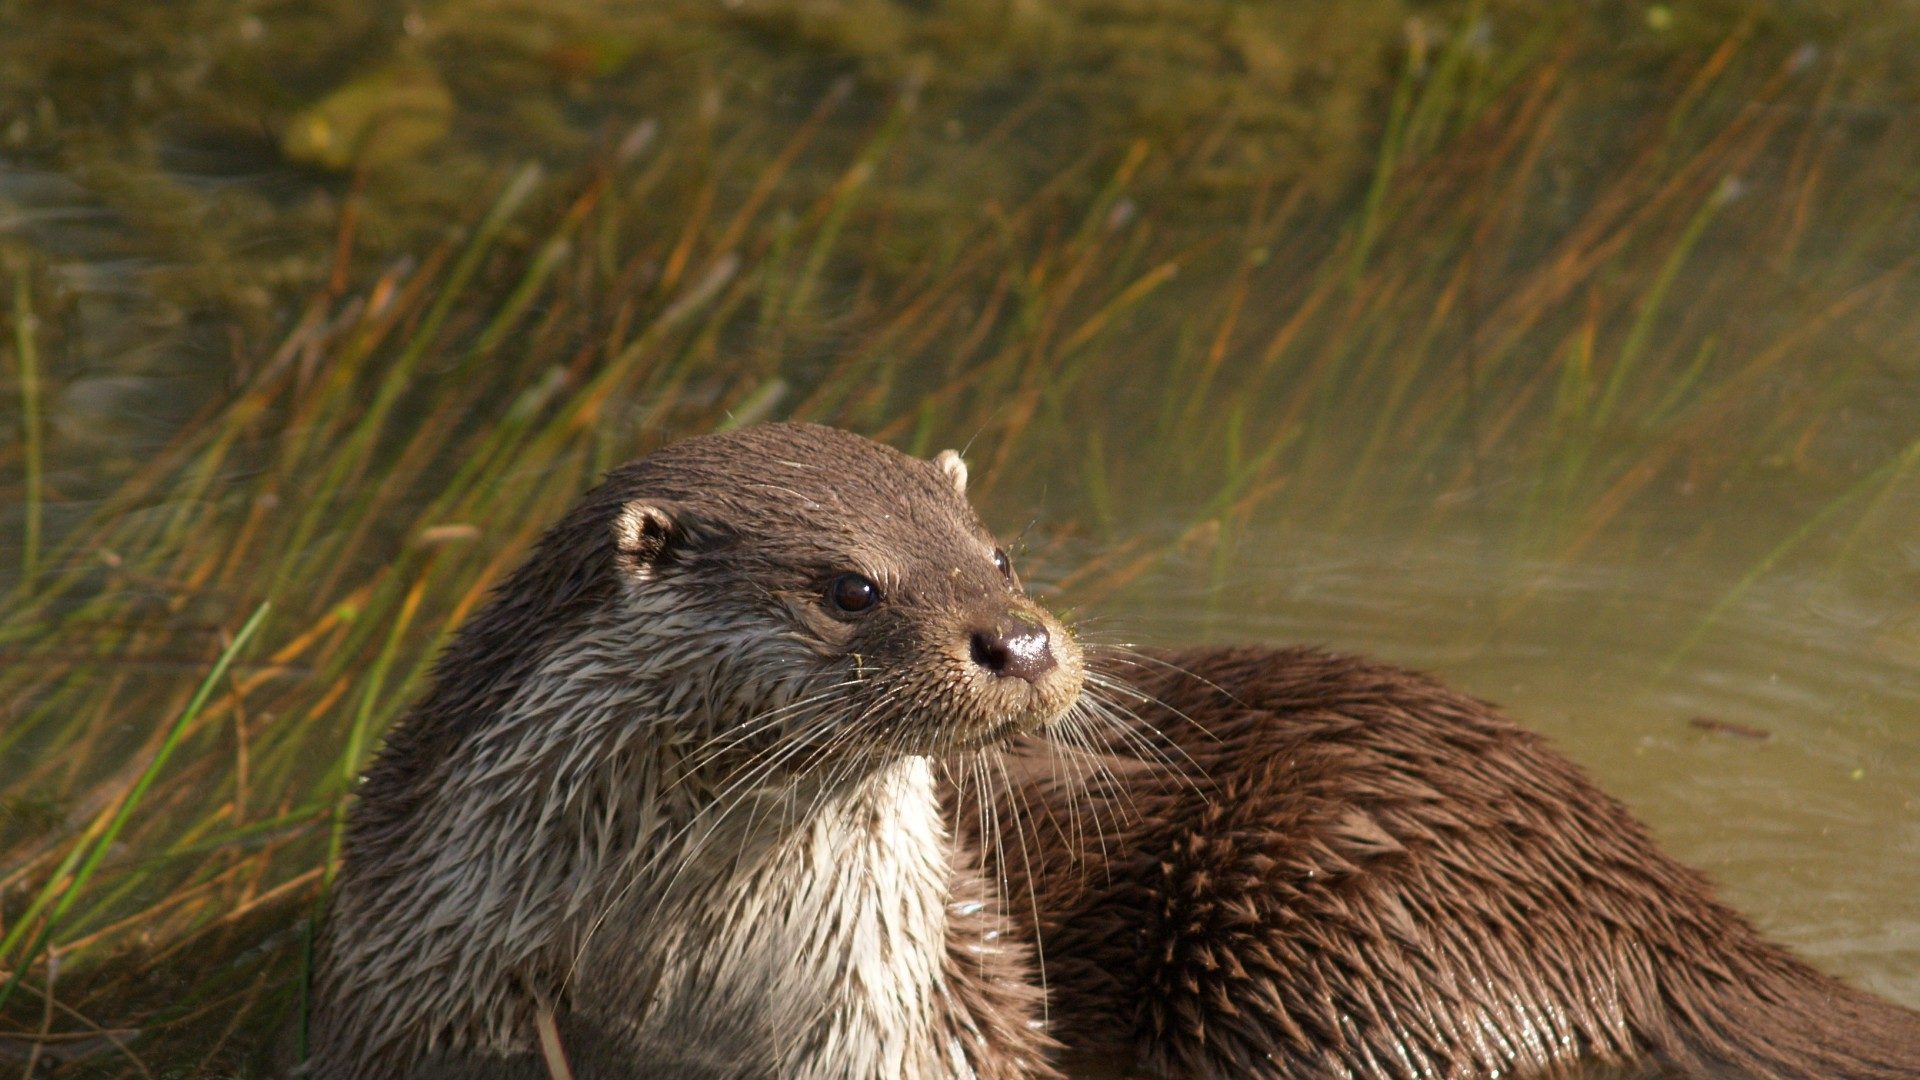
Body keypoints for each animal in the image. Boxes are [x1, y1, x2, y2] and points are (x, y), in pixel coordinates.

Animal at [311, 422, 1920, 1079]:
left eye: (997, 549)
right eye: (851, 588)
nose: (1020, 641)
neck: (675, 989)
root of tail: (1642, 895)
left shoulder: (922, 1024)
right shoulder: (410, 997)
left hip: (1332, 934)